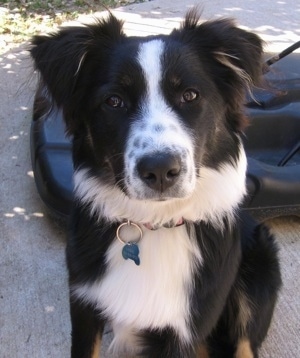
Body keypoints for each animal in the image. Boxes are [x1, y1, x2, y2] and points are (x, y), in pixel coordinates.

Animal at [30, 9, 282, 356]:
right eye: (113, 101)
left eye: (190, 95)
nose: (161, 170)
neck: (153, 224)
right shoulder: (83, 307)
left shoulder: (182, 330)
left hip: (260, 268)